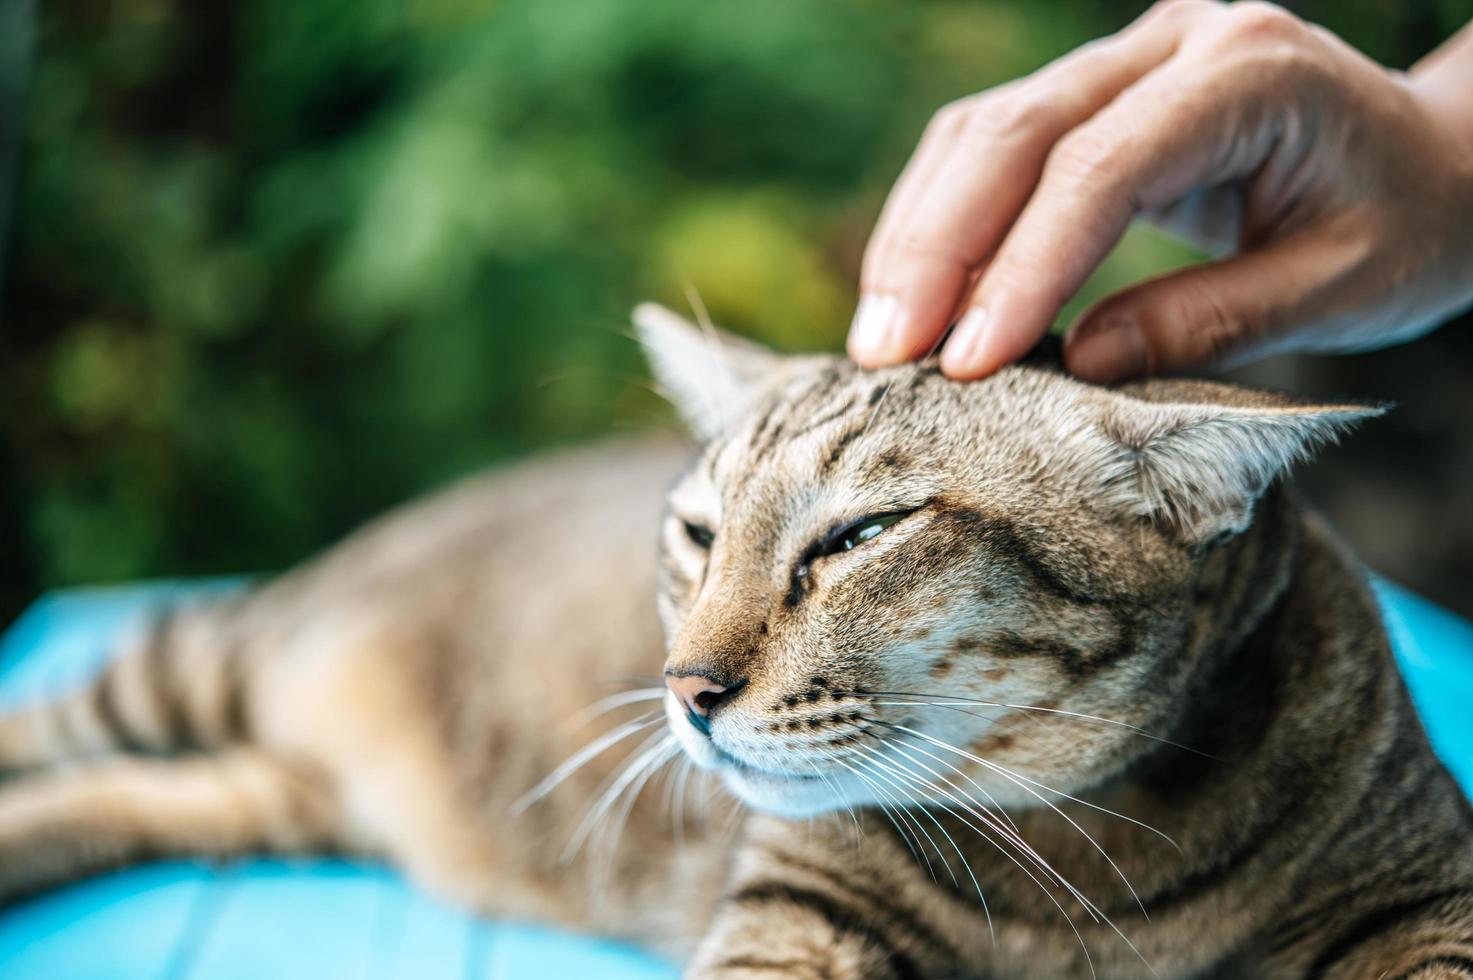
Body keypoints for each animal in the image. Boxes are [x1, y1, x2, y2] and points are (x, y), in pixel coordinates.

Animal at [0, 302, 1467, 972]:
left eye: (859, 535)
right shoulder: (796, 907)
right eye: (699, 535)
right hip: (204, 661)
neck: (1079, 870)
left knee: (132, 795)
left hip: (272, 788)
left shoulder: (1423, 894)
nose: (681, 687)